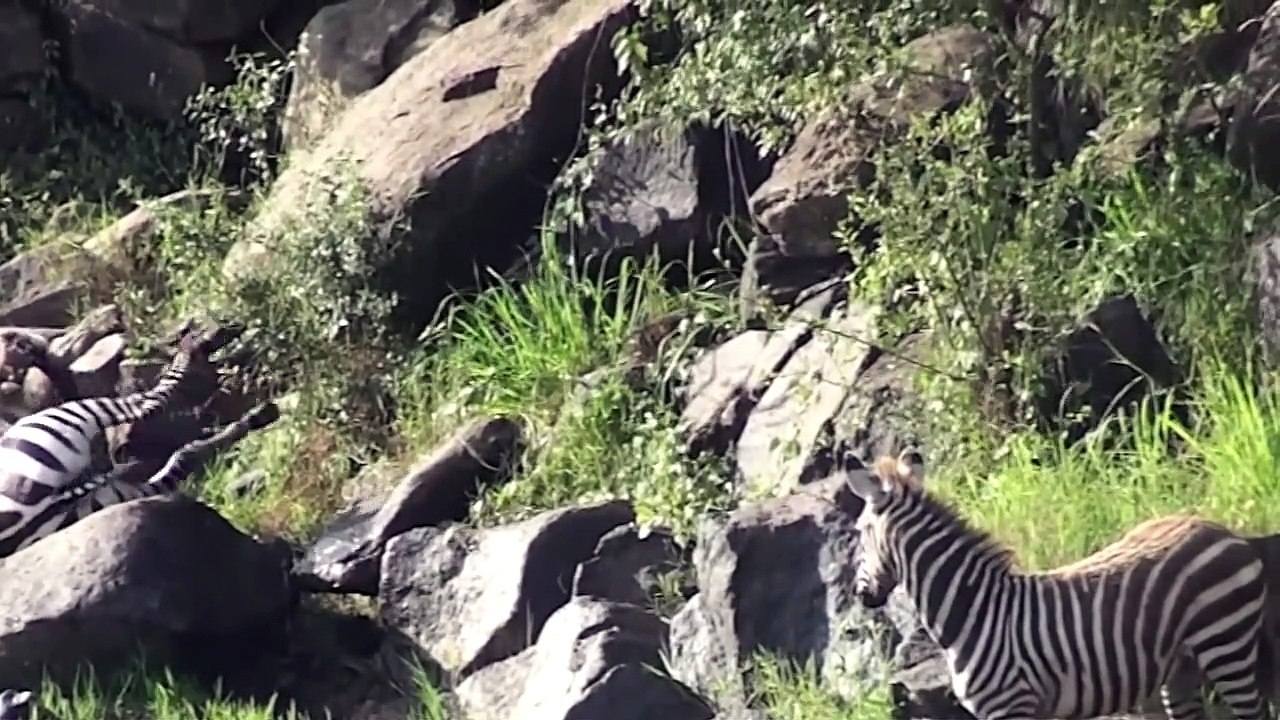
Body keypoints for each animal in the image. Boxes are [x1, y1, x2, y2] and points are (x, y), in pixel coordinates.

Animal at [843, 450, 1273, 720]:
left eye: (859, 531)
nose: (863, 597)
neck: (973, 613)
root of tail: (1222, 531)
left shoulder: (1011, 706)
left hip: (1226, 645)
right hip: (1181, 667)